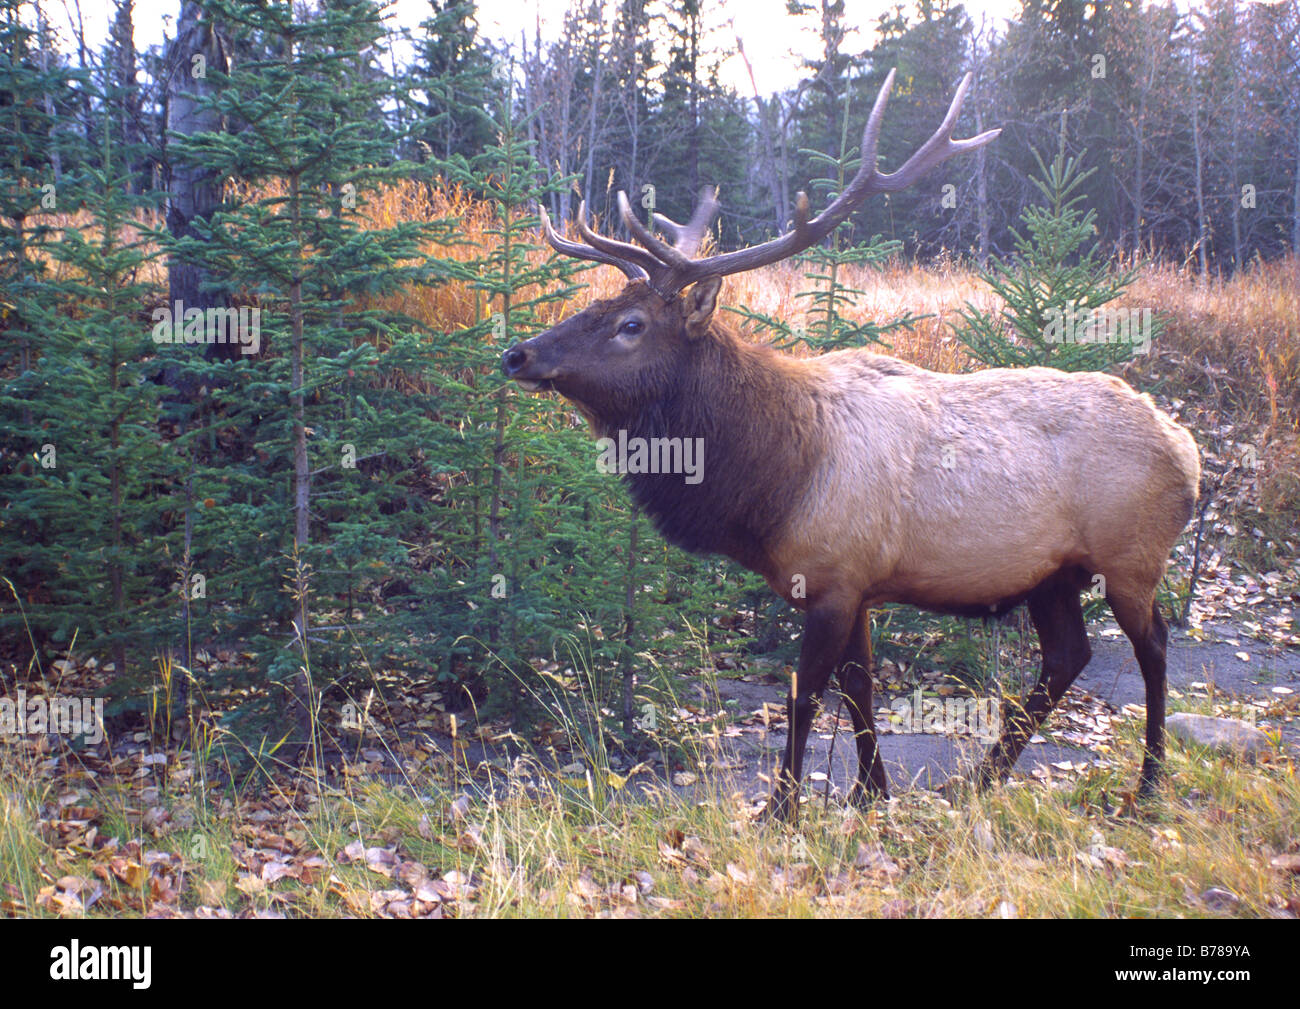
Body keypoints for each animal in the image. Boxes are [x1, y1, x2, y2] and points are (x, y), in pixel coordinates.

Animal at [501, 71, 1202, 820]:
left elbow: (805, 694)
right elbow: (859, 685)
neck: (774, 485)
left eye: (630, 324)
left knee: (1154, 647)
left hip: (1131, 556)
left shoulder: (834, 576)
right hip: (1052, 573)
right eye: (594, 305)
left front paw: (781, 807)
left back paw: (1148, 783)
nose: (518, 353)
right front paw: (871, 792)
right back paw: (979, 778)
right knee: (1068, 655)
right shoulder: (860, 582)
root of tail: (1187, 447)